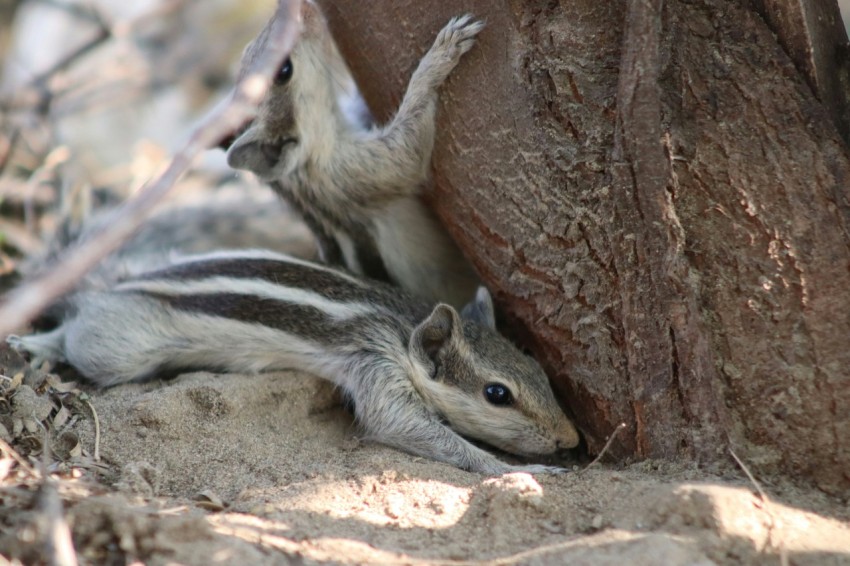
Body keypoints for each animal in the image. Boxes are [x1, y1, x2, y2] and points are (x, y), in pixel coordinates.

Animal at [8, 253, 576, 474]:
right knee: (76, 332)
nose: (570, 440)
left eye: (538, 370)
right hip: (121, 349)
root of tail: (118, 287)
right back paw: (37, 342)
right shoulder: (377, 367)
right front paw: (516, 470)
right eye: (497, 394)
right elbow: (406, 427)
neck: (402, 324)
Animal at [219, 1, 480, 310]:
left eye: (247, 52)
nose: (301, 6)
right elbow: (408, 151)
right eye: (284, 71)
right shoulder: (351, 171)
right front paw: (437, 59)